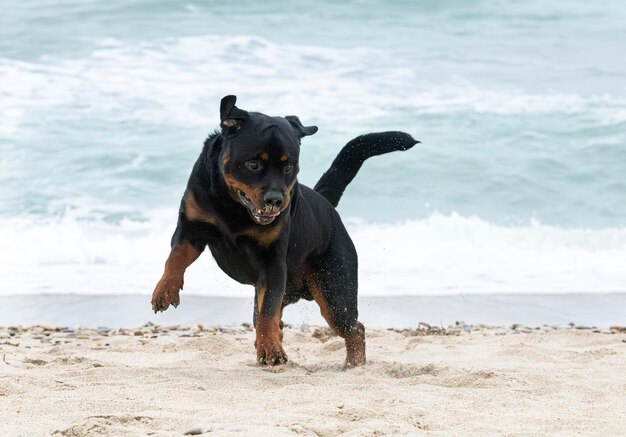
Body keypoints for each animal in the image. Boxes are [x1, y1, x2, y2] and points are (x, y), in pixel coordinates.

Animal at [150, 94, 414, 364]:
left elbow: (267, 313)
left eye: (289, 167)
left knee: (353, 327)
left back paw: (354, 364)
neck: (234, 207)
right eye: (253, 164)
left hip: (334, 290)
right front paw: (165, 289)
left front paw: (271, 350)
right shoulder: (191, 228)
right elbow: (176, 256)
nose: (276, 200)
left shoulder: (273, 264)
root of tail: (325, 203)